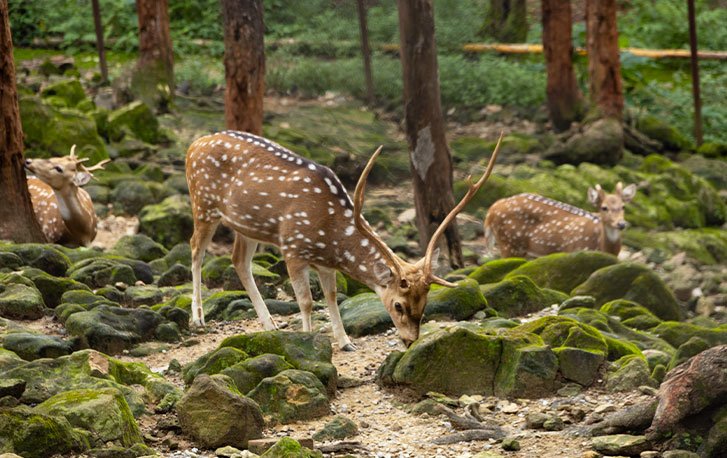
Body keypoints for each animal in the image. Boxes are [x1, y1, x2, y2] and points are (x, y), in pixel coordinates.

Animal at [186, 130, 502, 350]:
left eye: (425, 302)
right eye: (398, 305)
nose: (410, 340)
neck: (331, 236)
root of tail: (194, 144)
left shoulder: (325, 264)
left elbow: (332, 296)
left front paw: (346, 342)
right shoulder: (292, 246)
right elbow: (306, 301)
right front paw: (307, 338)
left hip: (245, 226)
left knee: (239, 261)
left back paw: (270, 324)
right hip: (203, 204)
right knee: (195, 250)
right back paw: (198, 318)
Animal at [483, 182, 636, 258]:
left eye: (623, 206)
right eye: (604, 207)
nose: (621, 224)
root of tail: (491, 210)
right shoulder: (576, 250)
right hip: (509, 242)